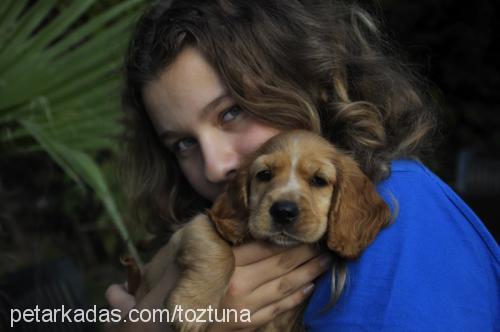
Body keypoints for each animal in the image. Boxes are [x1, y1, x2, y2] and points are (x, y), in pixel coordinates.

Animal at [134, 130, 390, 332]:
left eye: (319, 180)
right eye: (264, 175)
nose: (283, 211)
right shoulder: (194, 226)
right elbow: (220, 252)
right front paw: (192, 308)